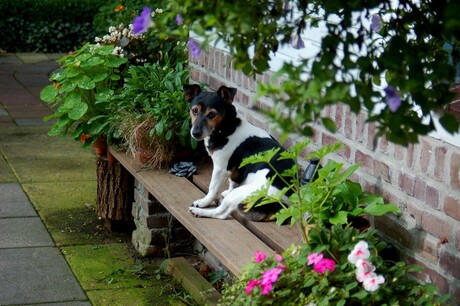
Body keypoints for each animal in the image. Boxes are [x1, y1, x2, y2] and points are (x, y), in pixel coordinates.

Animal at [183, 85, 294, 221]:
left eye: (212, 114)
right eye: (194, 110)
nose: (195, 133)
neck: (225, 127)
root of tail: (281, 203)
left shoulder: (220, 168)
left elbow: (212, 189)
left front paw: (204, 202)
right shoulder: (235, 169)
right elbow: (232, 182)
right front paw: (226, 191)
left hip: (241, 193)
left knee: (220, 213)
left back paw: (198, 211)